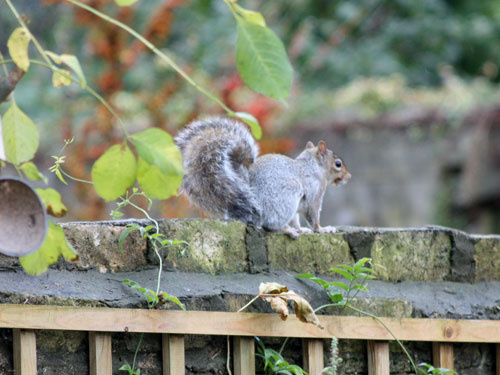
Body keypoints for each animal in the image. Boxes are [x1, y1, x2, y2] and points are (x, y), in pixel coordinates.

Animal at [176, 117, 352, 238]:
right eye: (338, 164)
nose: (349, 176)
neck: (312, 166)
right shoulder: (314, 191)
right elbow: (313, 214)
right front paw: (322, 229)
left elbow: (296, 219)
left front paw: (302, 229)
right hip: (286, 197)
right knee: (270, 225)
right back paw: (285, 229)